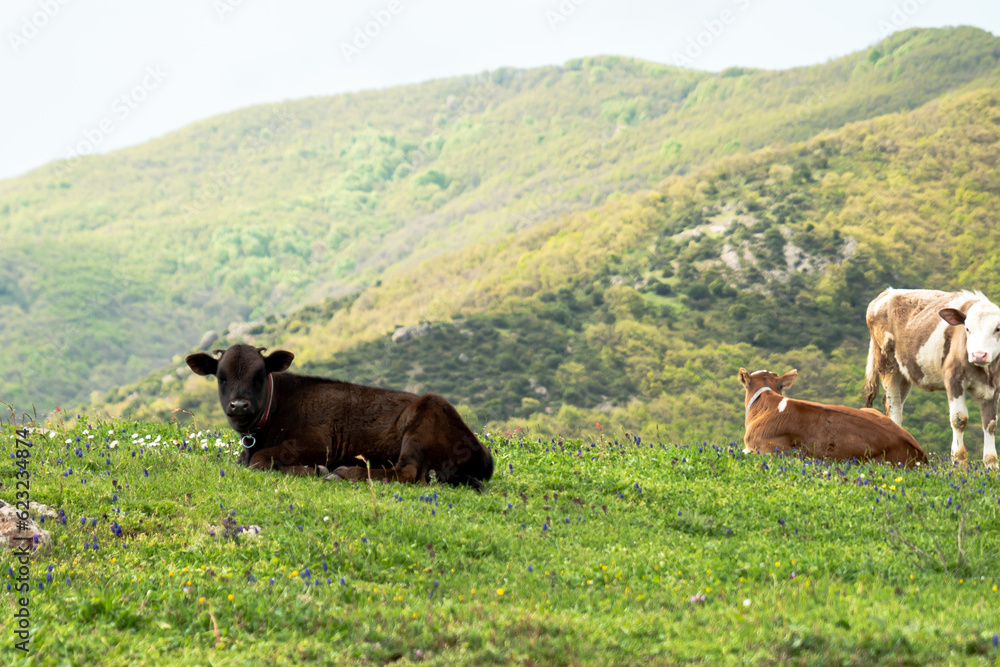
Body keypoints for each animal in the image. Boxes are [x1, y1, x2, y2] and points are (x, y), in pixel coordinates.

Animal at [185, 344, 495, 489]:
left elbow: (260, 461)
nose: (239, 405)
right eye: (221, 378)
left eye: (259, 375)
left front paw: (316, 470)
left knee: (406, 473)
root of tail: (484, 454)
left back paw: (344, 473)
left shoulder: (317, 444)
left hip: (424, 418)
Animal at [864, 288, 1000, 469]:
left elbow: (990, 424)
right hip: (887, 363)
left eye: (998, 329)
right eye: (967, 328)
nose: (979, 354)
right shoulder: (953, 378)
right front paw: (958, 463)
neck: (985, 372)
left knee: (891, 403)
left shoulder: (995, 387)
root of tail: (887, 292)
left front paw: (992, 466)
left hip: (904, 372)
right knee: (894, 408)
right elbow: (959, 419)